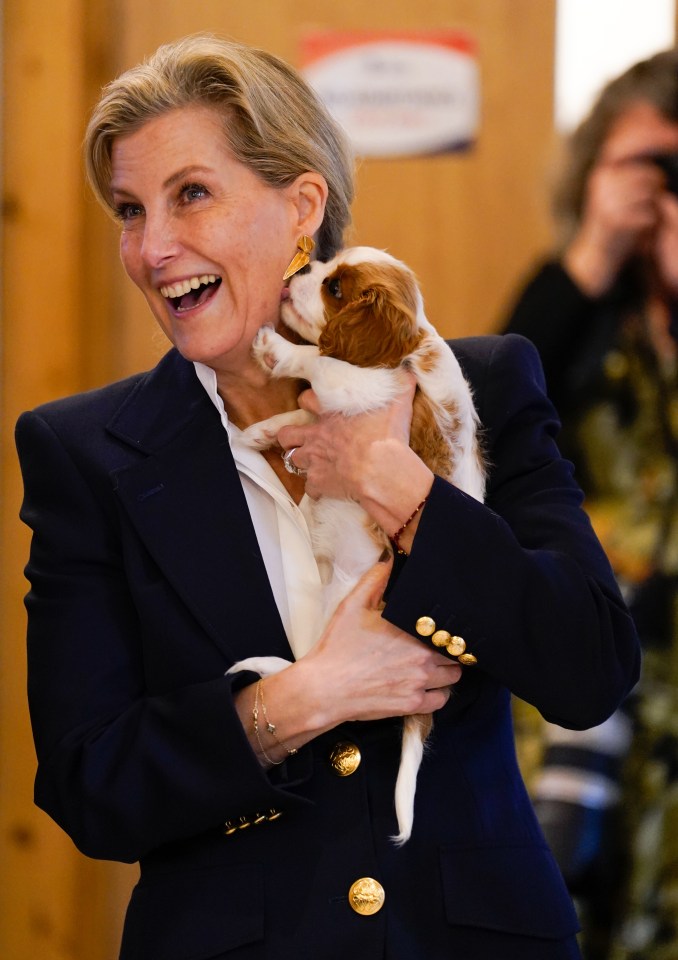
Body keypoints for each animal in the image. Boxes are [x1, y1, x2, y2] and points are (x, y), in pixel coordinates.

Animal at [231, 244, 486, 844]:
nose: (300, 271)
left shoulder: (363, 387)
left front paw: (275, 349)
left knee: (307, 670)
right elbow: (303, 409)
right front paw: (261, 433)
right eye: (326, 271)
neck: (406, 351)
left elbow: (318, 363)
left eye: (335, 289)